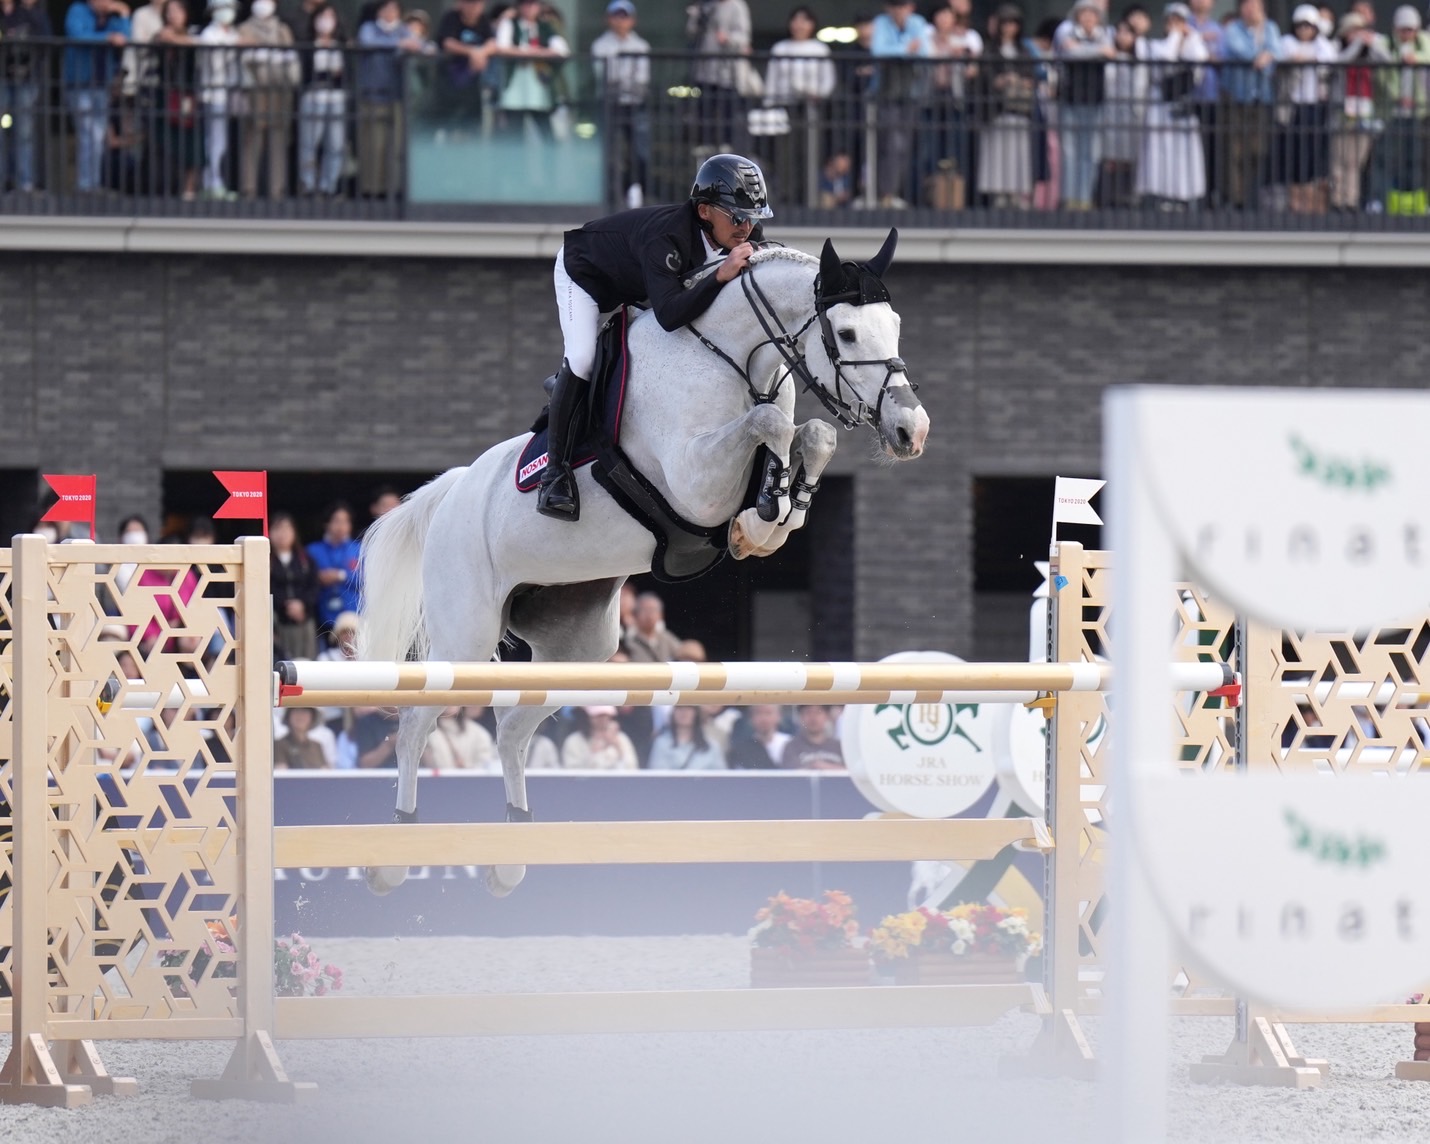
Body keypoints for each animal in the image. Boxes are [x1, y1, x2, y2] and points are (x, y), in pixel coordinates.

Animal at [356, 231, 930, 897]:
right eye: (846, 333)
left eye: (895, 325)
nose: (911, 430)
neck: (734, 358)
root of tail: (451, 492)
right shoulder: (693, 484)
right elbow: (771, 423)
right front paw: (764, 512)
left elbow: (810, 433)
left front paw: (768, 519)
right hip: (466, 637)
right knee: (415, 727)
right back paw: (395, 853)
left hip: (579, 650)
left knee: (511, 728)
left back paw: (512, 853)